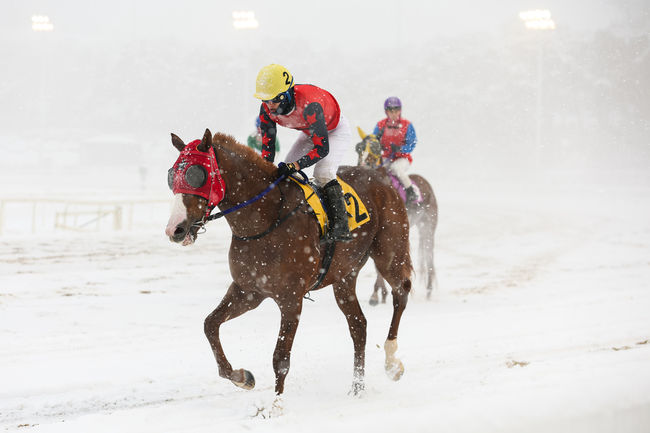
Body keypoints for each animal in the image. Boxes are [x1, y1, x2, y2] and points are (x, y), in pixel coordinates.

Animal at [166, 130, 410, 400]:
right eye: (172, 175)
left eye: (196, 175)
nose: (175, 229)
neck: (264, 218)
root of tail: (381, 177)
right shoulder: (248, 291)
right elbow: (210, 324)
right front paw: (242, 377)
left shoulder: (291, 298)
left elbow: (280, 357)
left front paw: (276, 405)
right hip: (345, 275)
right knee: (358, 325)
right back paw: (357, 388)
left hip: (389, 253)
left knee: (402, 291)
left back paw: (392, 361)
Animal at [354, 128, 440, 302]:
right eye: (358, 148)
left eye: (375, 148)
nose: (362, 165)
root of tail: (425, 182)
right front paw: (380, 292)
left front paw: (378, 293)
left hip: (428, 227)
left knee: (429, 254)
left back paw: (429, 290)